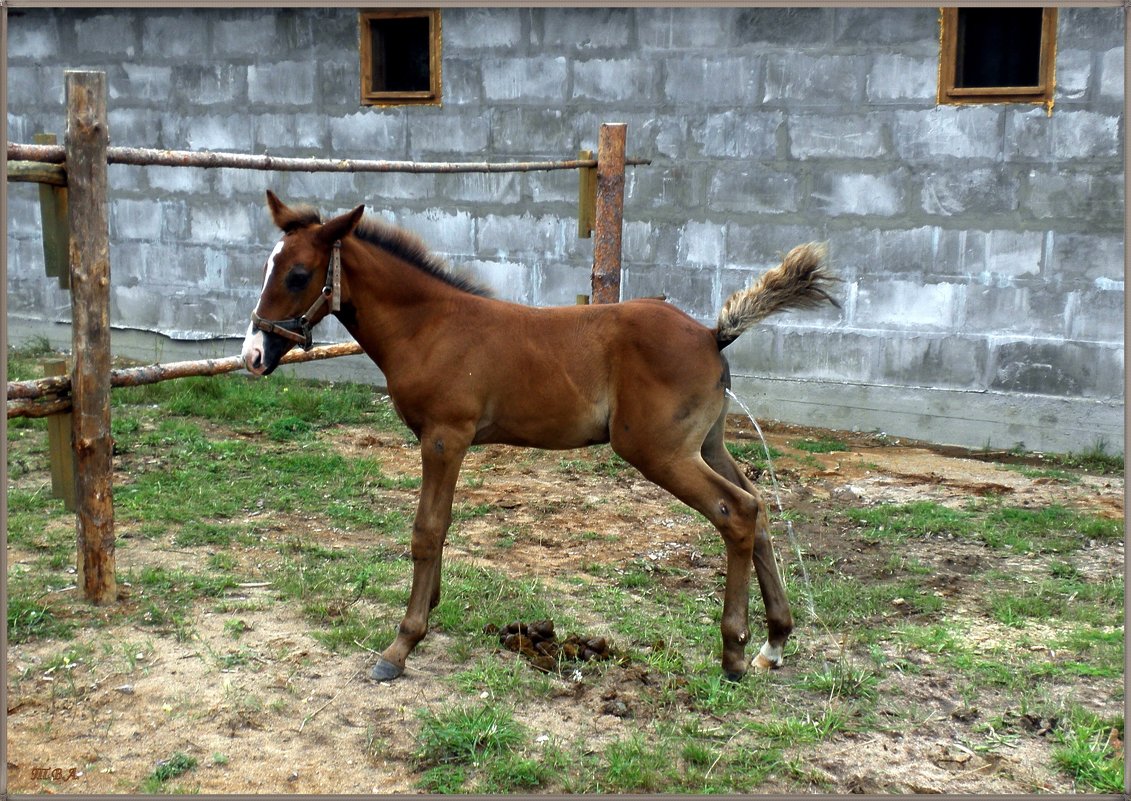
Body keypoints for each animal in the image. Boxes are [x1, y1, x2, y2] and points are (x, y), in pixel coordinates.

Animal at [240, 192, 841, 683]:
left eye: (298, 274)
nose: (252, 356)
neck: (429, 325)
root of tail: (714, 335)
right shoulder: (446, 443)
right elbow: (443, 525)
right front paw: (430, 609)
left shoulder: (444, 437)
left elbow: (426, 530)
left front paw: (401, 645)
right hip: (707, 444)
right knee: (758, 508)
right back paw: (774, 643)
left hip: (659, 451)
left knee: (735, 511)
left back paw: (734, 653)